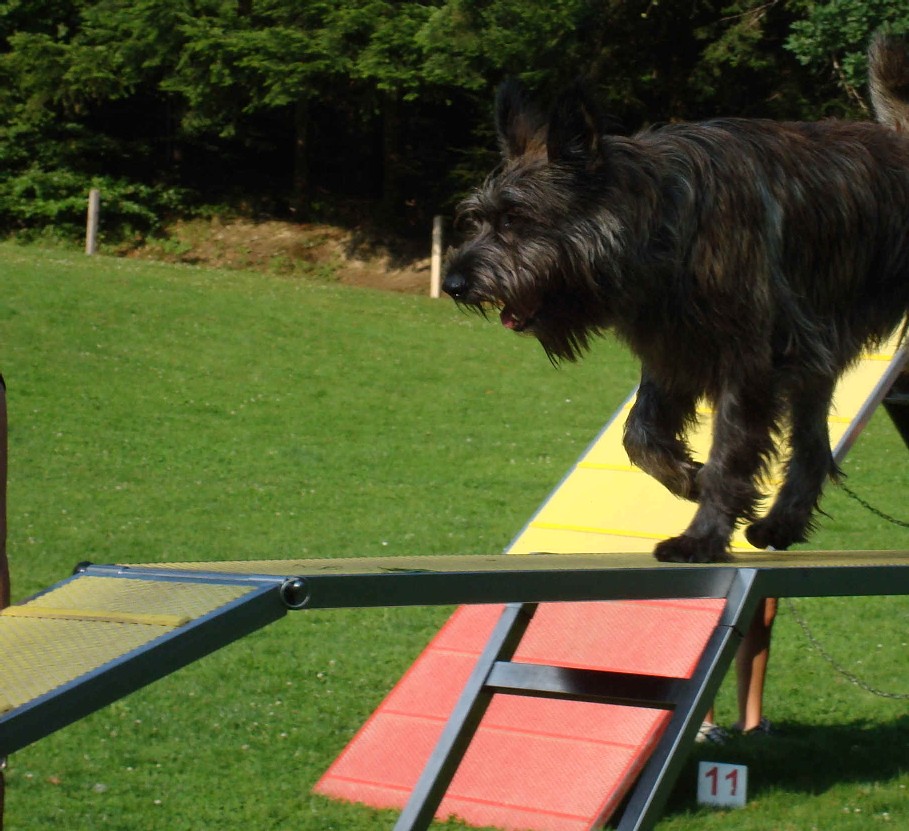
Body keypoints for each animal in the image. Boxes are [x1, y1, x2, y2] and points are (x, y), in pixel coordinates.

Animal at [442, 35, 908, 564]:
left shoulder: (748, 361)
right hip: (815, 363)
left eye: (515, 220)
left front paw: (702, 536)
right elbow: (640, 435)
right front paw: (692, 479)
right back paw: (781, 523)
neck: (664, 225)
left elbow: (730, 455)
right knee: (812, 450)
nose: (453, 283)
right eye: (478, 218)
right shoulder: (675, 352)